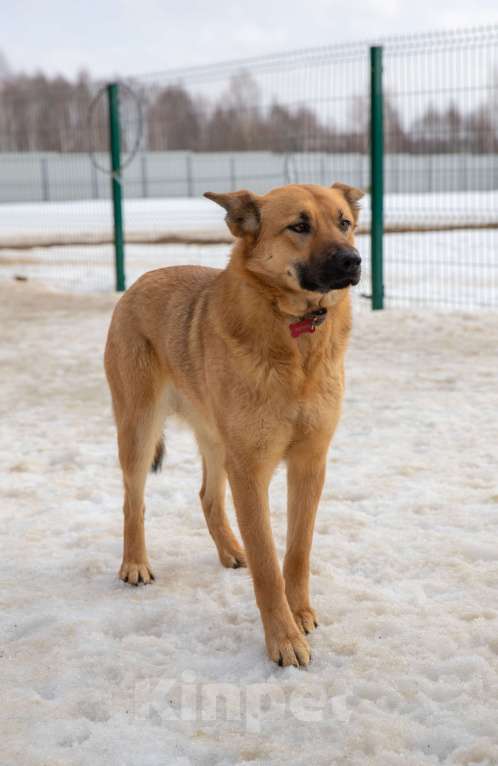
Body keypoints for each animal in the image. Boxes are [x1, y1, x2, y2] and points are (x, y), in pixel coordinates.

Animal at [105, 183, 362, 668]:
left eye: (345, 223)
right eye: (299, 225)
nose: (353, 260)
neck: (295, 334)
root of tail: (139, 282)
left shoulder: (309, 463)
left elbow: (297, 551)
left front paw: (300, 613)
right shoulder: (251, 470)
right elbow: (267, 563)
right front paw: (283, 639)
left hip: (218, 442)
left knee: (207, 496)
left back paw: (228, 549)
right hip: (139, 430)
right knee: (133, 501)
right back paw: (135, 564)